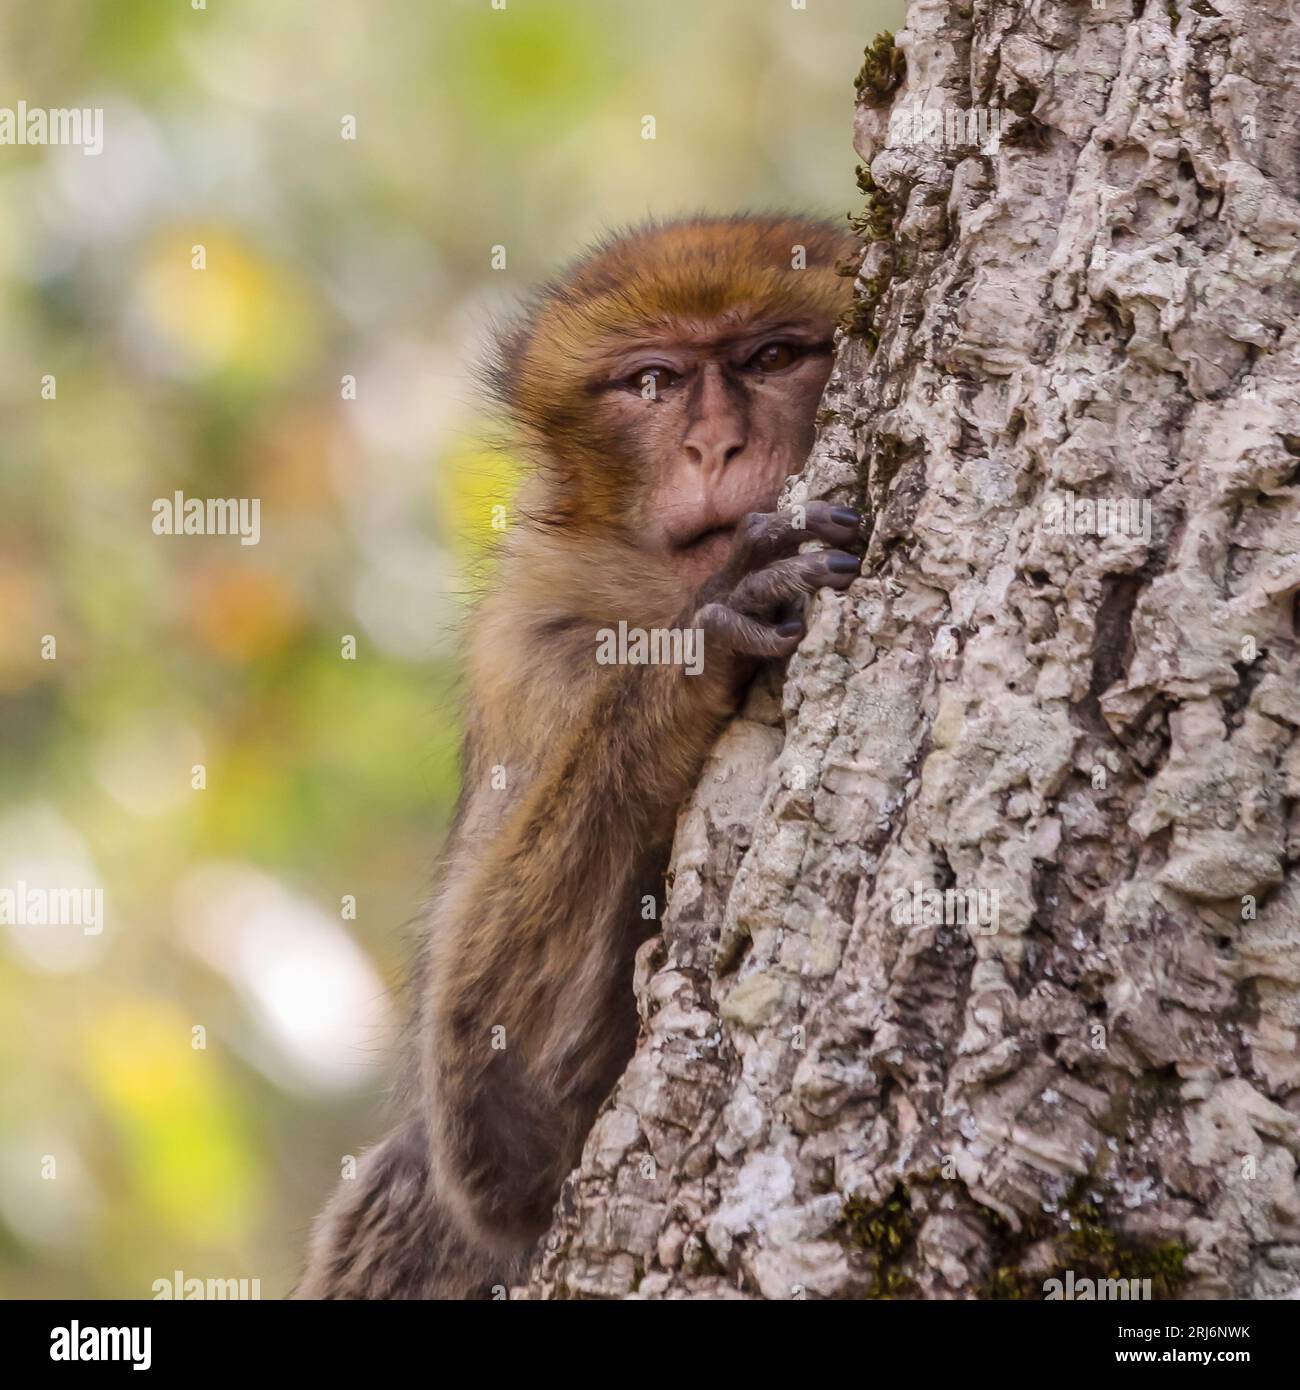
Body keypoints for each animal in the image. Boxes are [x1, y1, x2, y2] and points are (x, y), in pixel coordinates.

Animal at [296, 214, 862, 1299]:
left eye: (773, 359)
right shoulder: (532, 649)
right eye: (653, 382)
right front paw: (700, 643)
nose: (715, 444)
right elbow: (492, 1130)